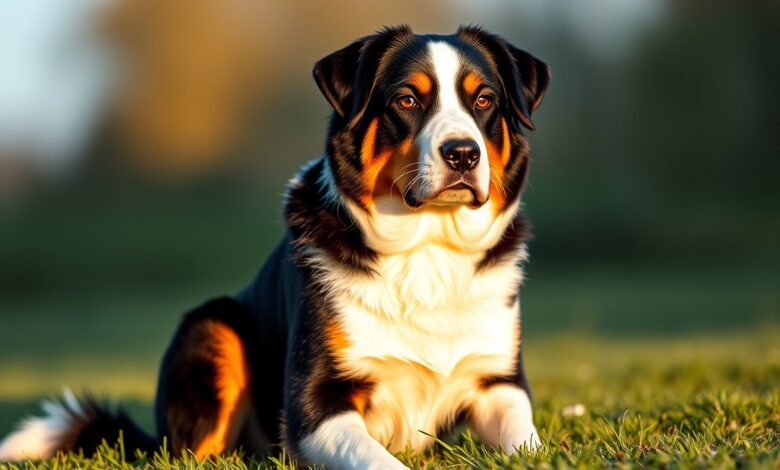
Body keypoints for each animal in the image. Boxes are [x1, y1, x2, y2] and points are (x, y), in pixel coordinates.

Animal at [0, 26, 548, 470]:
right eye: (408, 100)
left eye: (484, 101)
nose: (463, 153)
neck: (427, 250)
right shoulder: (315, 407)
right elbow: (378, 458)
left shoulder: (500, 383)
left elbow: (529, 441)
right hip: (213, 327)